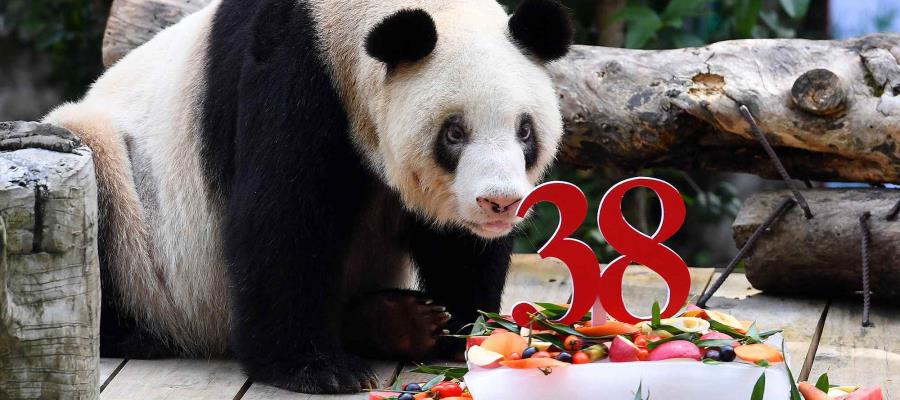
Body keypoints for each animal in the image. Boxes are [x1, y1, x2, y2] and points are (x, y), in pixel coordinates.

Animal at [38, 0, 573, 394]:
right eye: (455, 133)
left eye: (525, 130)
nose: (499, 203)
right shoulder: (294, 71)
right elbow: (281, 218)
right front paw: (315, 368)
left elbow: (457, 244)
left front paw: (465, 330)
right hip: (138, 213)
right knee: (97, 168)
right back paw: (136, 333)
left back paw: (396, 322)